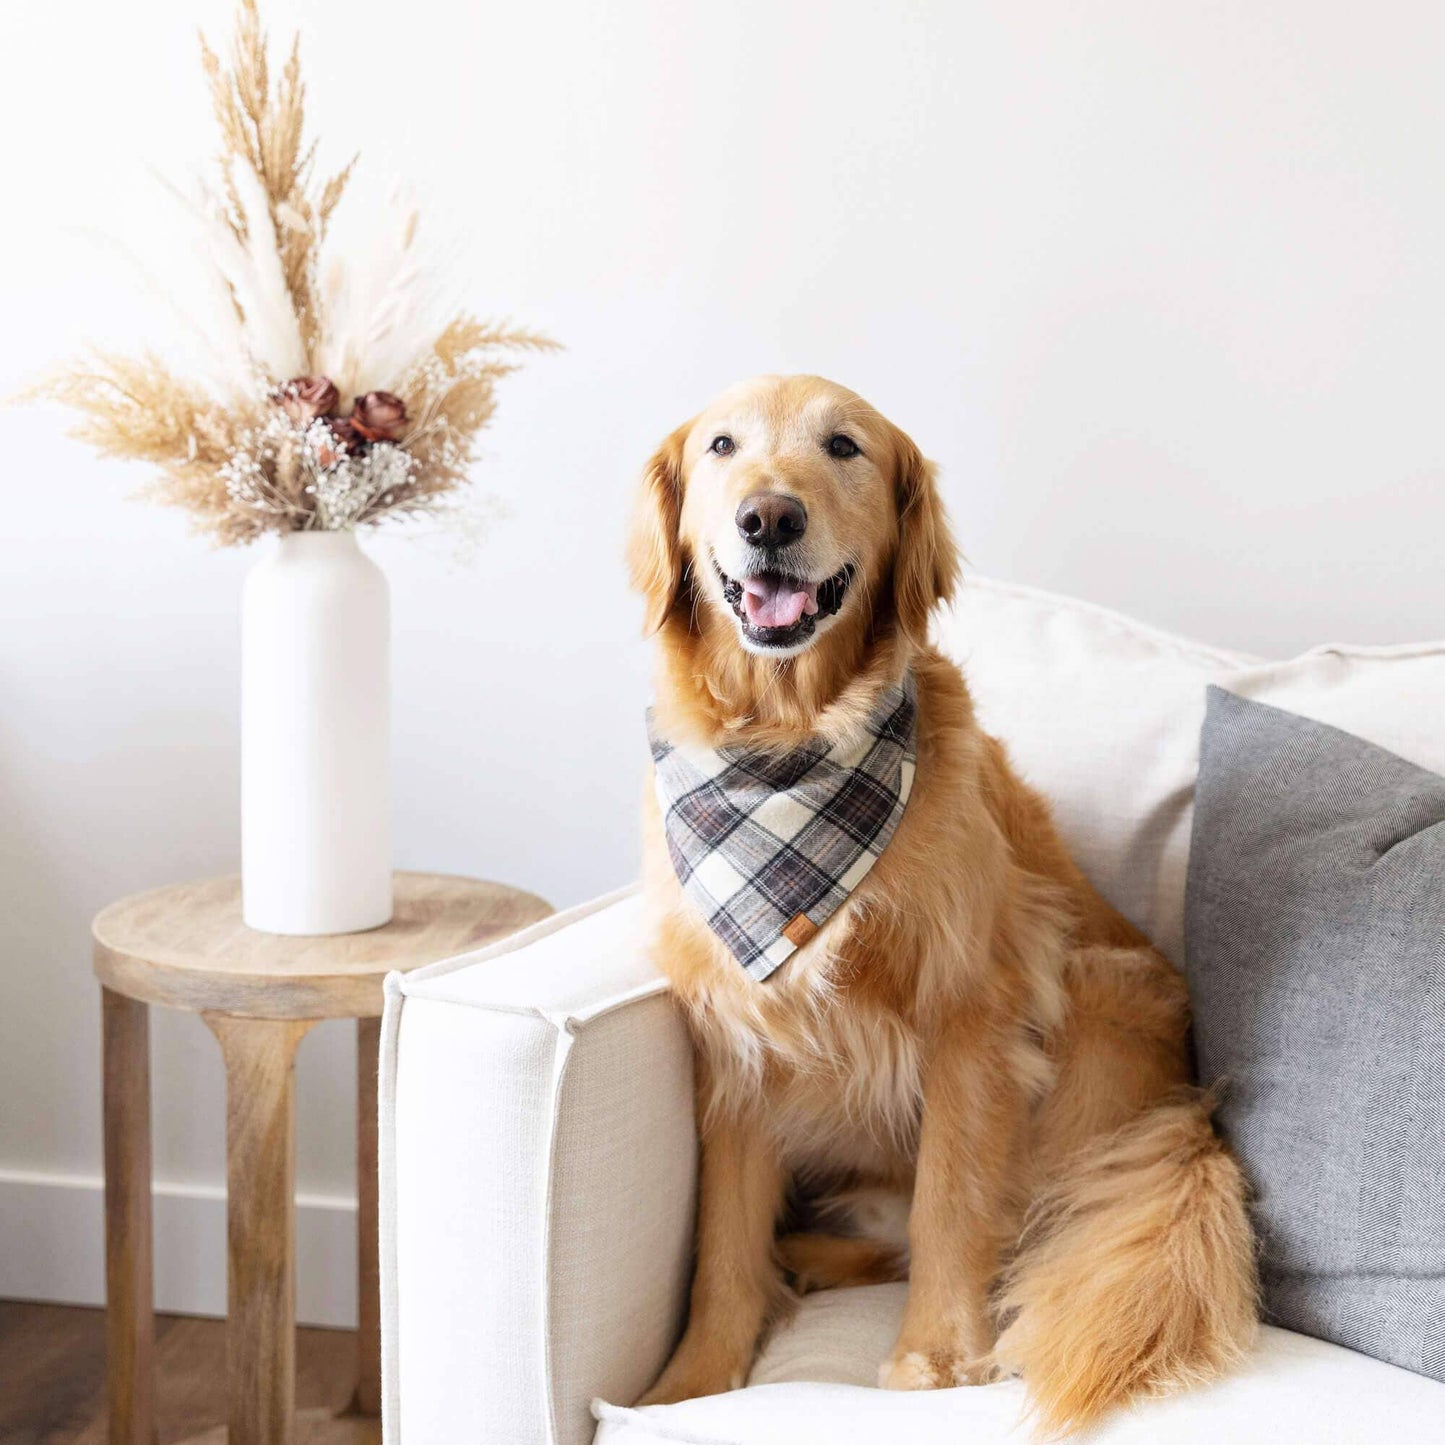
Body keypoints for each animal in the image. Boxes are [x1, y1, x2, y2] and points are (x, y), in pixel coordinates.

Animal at [630, 375, 1254, 1433]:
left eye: (843, 446)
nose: (769, 517)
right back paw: (804, 1257)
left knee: (1036, 1228)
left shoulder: (975, 1010)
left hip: (1098, 988)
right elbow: (723, 1237)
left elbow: (953, 1202)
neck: (789, 744)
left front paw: (933, 1358)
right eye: (721, 446)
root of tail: (1190, 1119)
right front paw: (694, 1380)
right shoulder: (737, 1032)